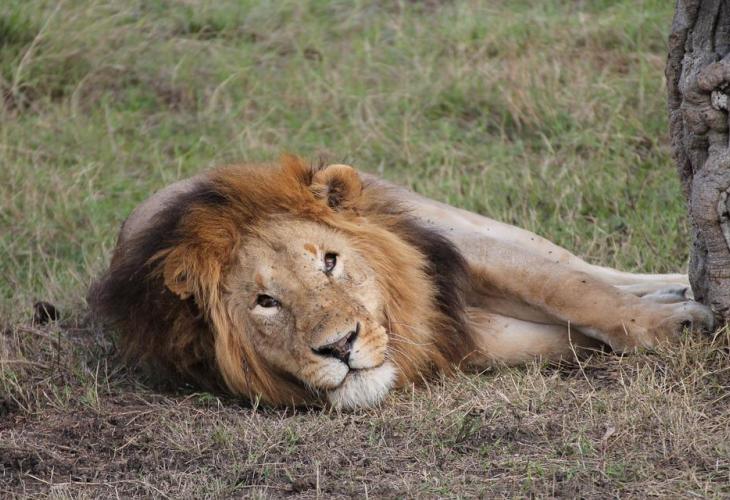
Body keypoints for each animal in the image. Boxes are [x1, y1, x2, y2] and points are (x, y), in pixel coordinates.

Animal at [90, 155, 715, 408]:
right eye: (266, 302)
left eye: (330, 262)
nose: (339, 346)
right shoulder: (471, 338)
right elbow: (569, 336)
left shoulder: (459, 253)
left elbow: (574, 290)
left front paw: (675, 323)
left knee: (590, 267)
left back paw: (681, 287)